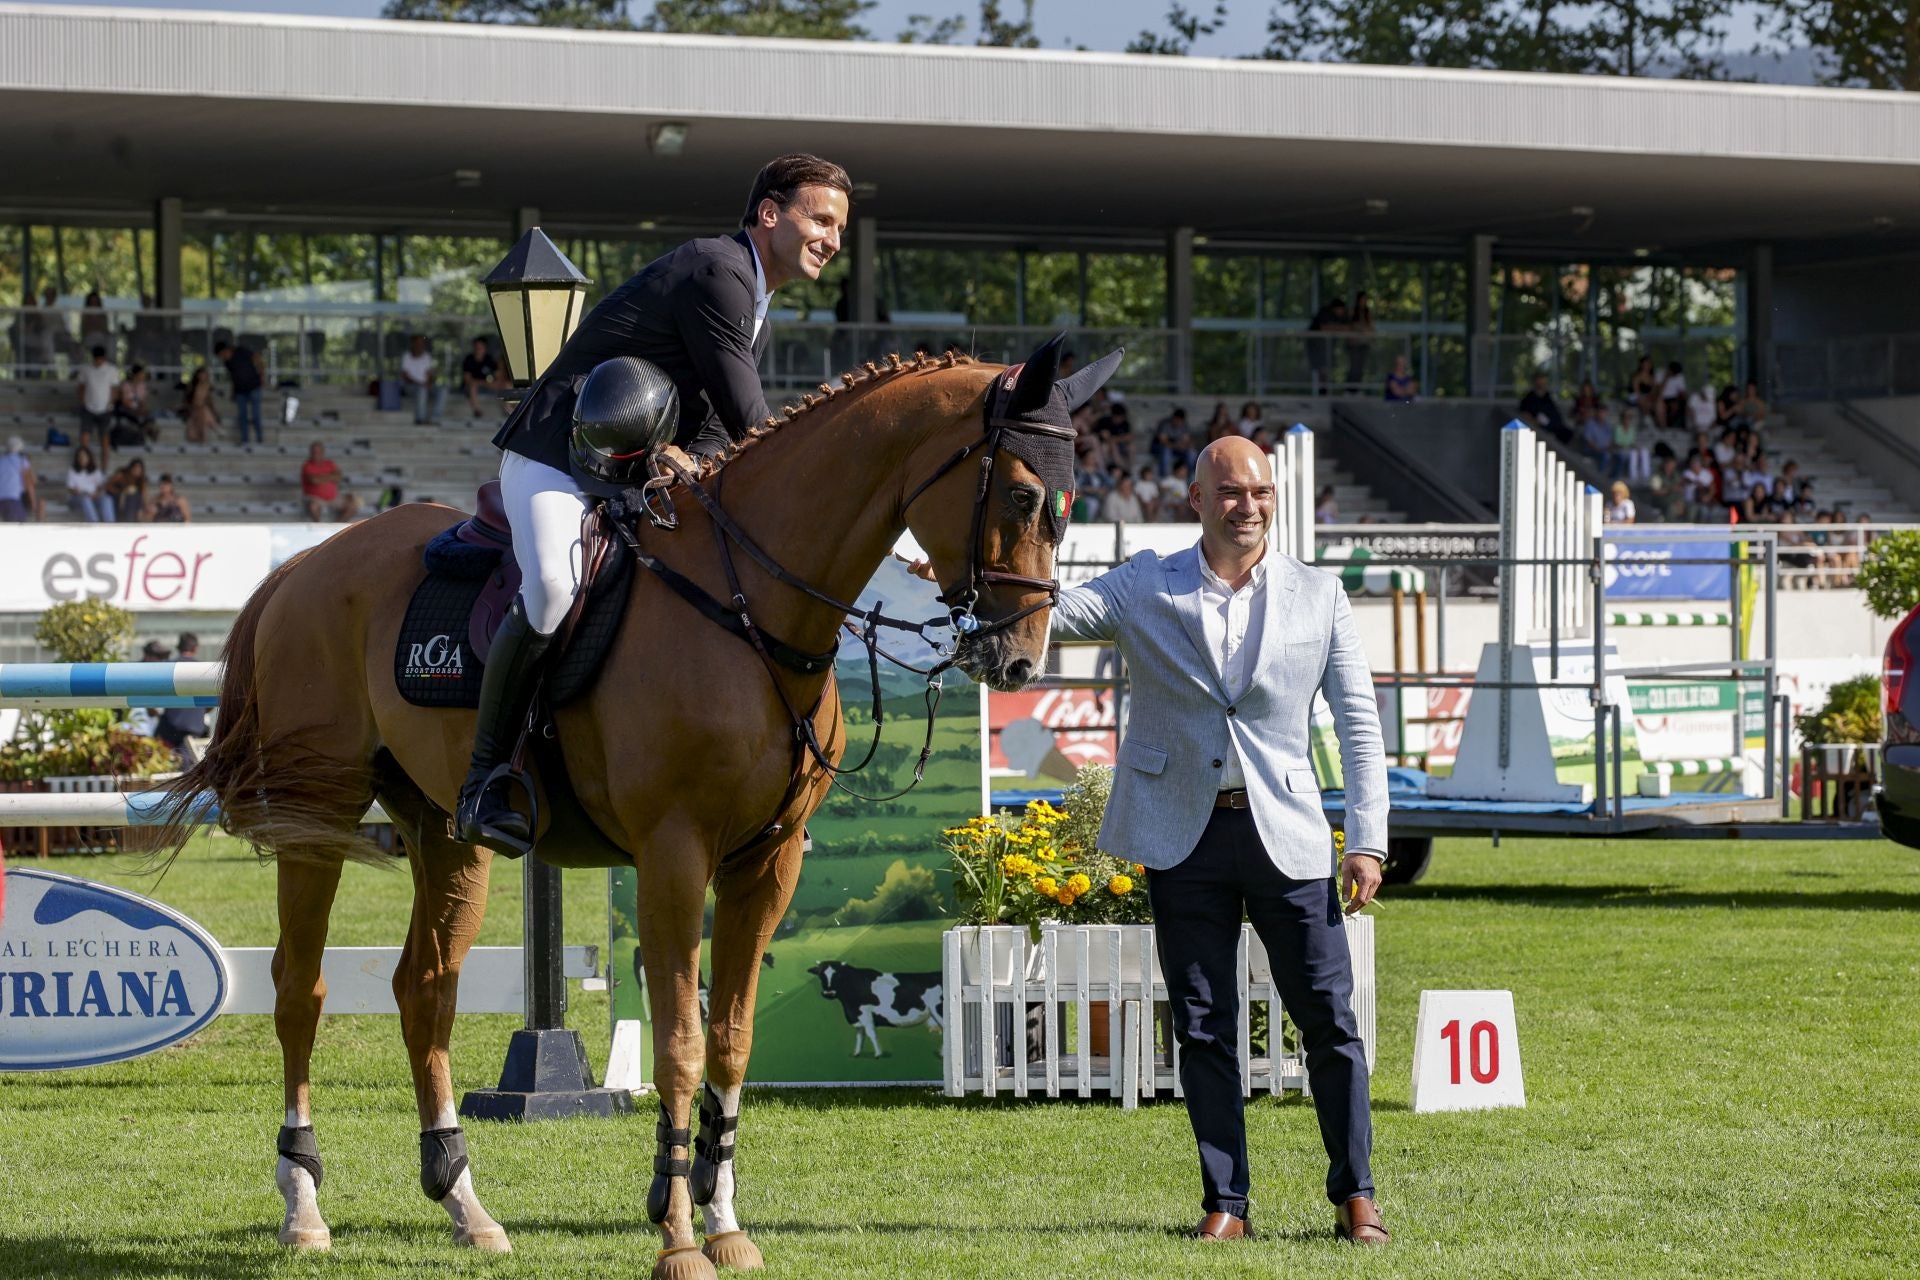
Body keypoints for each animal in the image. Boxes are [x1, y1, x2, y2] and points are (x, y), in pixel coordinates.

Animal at [157, 345, 1121, 1274]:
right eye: (1024, 495)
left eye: (1072, 505)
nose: (1021, 661)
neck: (750, 610)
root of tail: (302, 566)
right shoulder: (674, 854)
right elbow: (680, 1043)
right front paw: (679, 1234)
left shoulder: (769, 860)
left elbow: (731, 1038)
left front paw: (724, 1223)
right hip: (317, 810)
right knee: (299, 989)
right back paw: (303, 1206)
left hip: (443, 829)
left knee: (424, 990)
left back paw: (466, 1205)